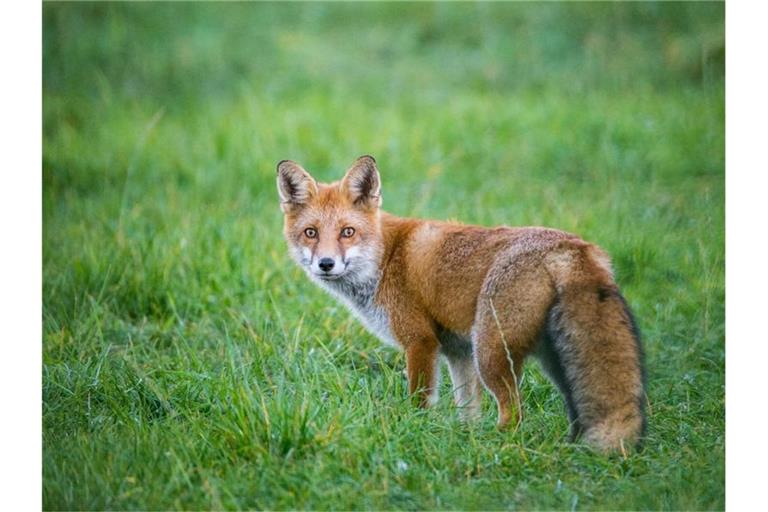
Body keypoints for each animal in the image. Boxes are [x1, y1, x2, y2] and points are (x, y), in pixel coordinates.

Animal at [280, 156, 644, 452]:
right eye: (311, 232)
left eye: (347, 232)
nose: (326, 264)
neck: (386, 257)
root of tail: (574, 245)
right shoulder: (457, 351)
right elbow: (467, 409)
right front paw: (463, 437)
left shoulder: (421, 341)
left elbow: (420, 400)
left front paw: (418, 431)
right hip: (552, 360)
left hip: (491, 353)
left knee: (514, 413)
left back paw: (496, 445)